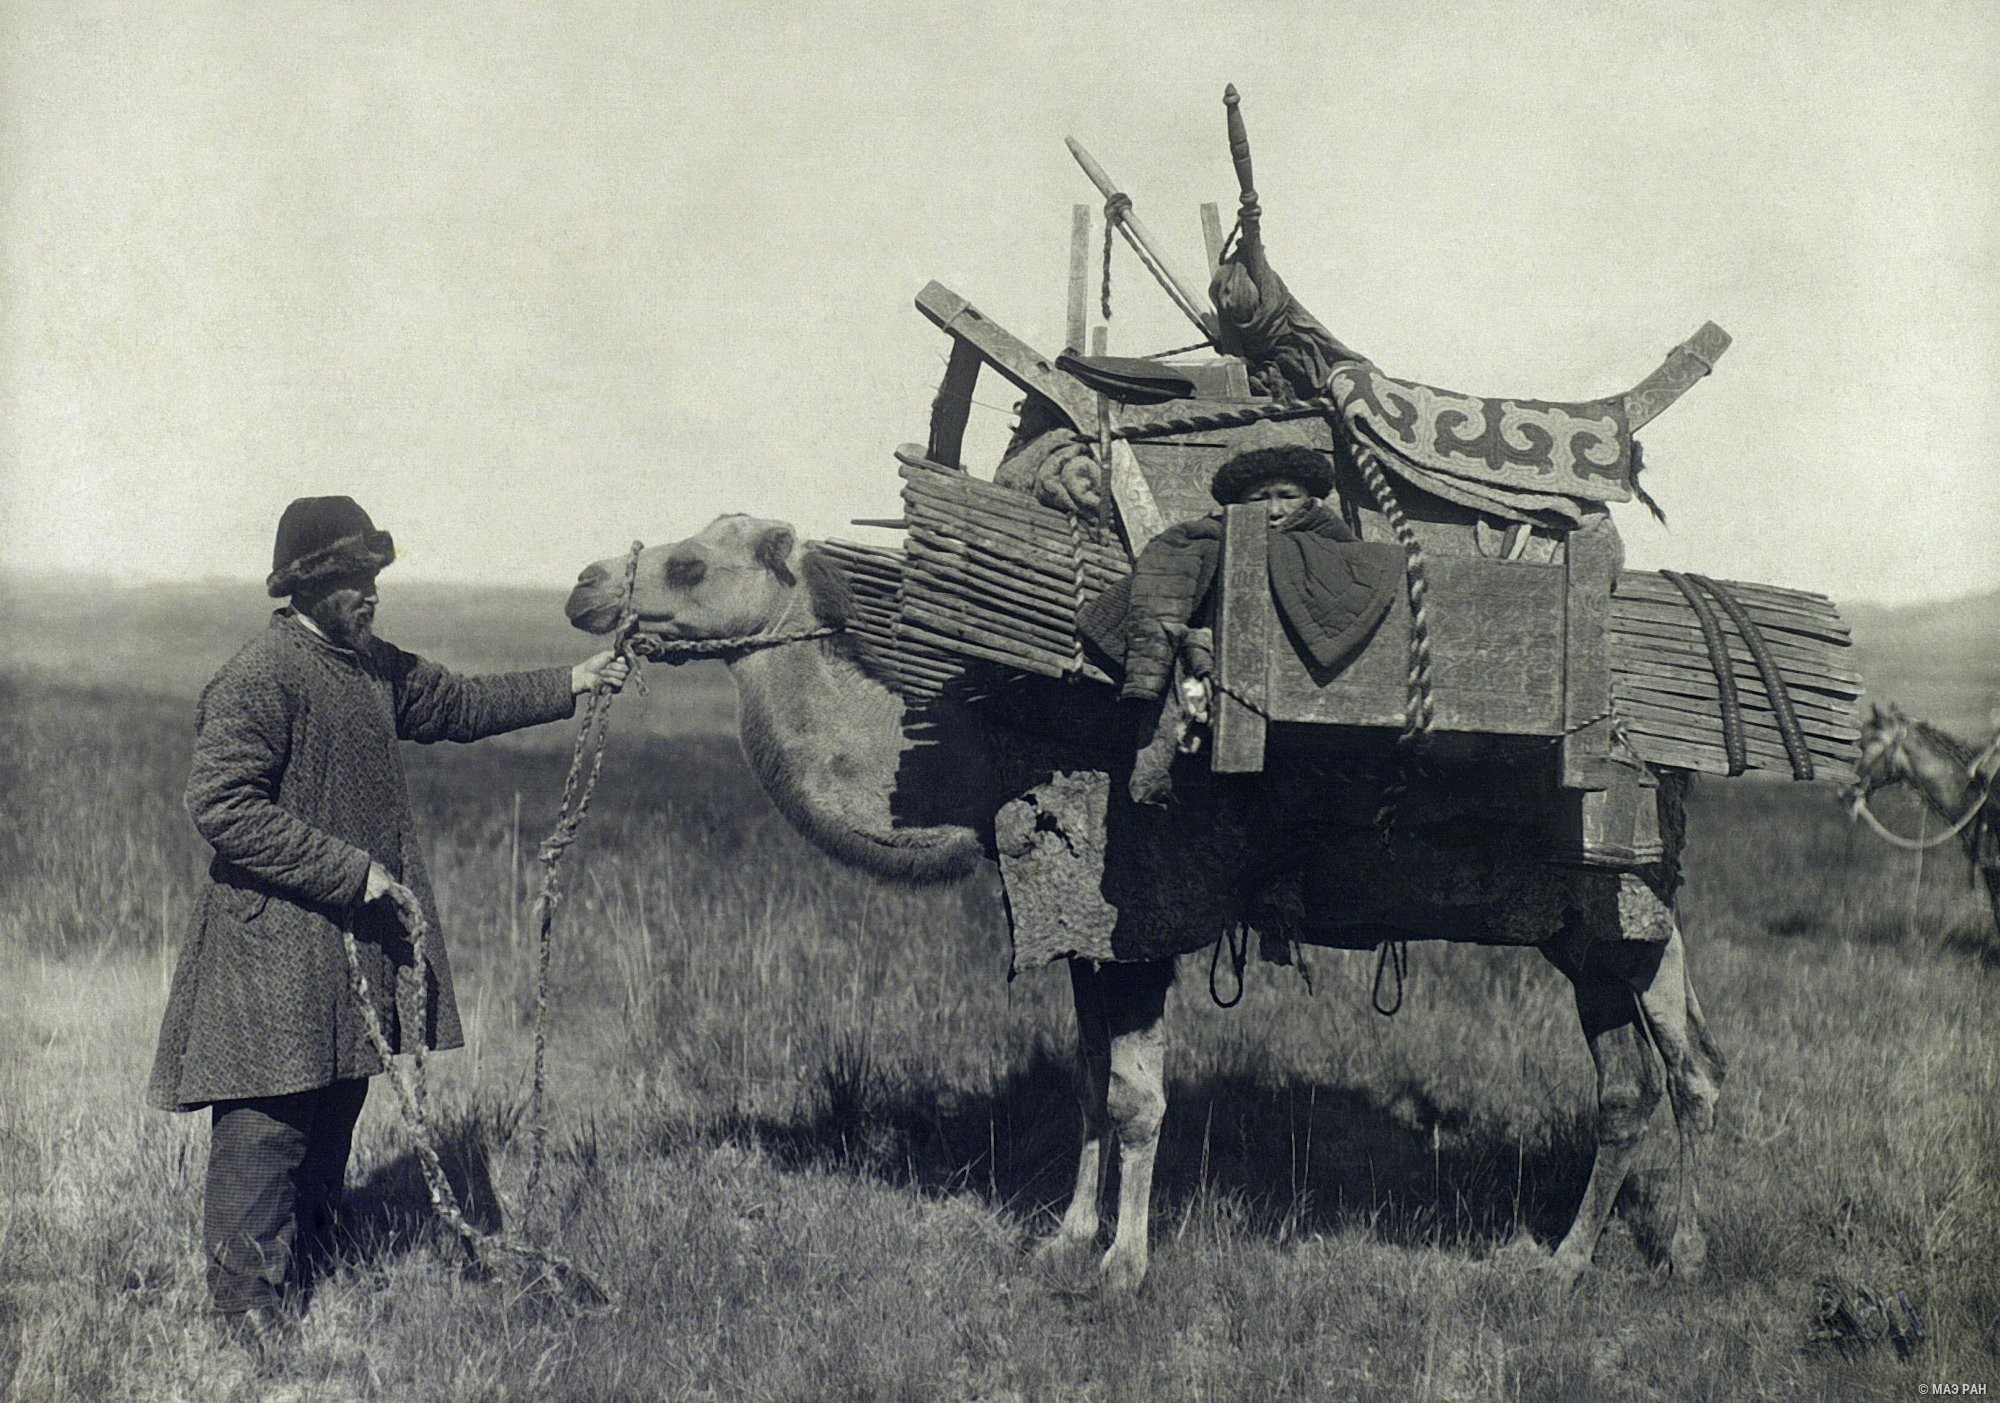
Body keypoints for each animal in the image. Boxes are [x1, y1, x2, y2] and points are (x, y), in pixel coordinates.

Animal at [572, 515, 1728, 1295]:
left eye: (689, 562)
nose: (585, 584)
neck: (989, 761)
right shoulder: (1083, 937)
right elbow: (1089, 1086)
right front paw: (1063, 1234)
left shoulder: (1137, 923)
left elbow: (1135, 1096)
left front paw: (1123, 1265)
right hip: (1605, 928)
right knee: (1672, 1071)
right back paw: (1655, 1249)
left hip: (1600, 907)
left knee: (1646, 1056)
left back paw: (1576, 1257)